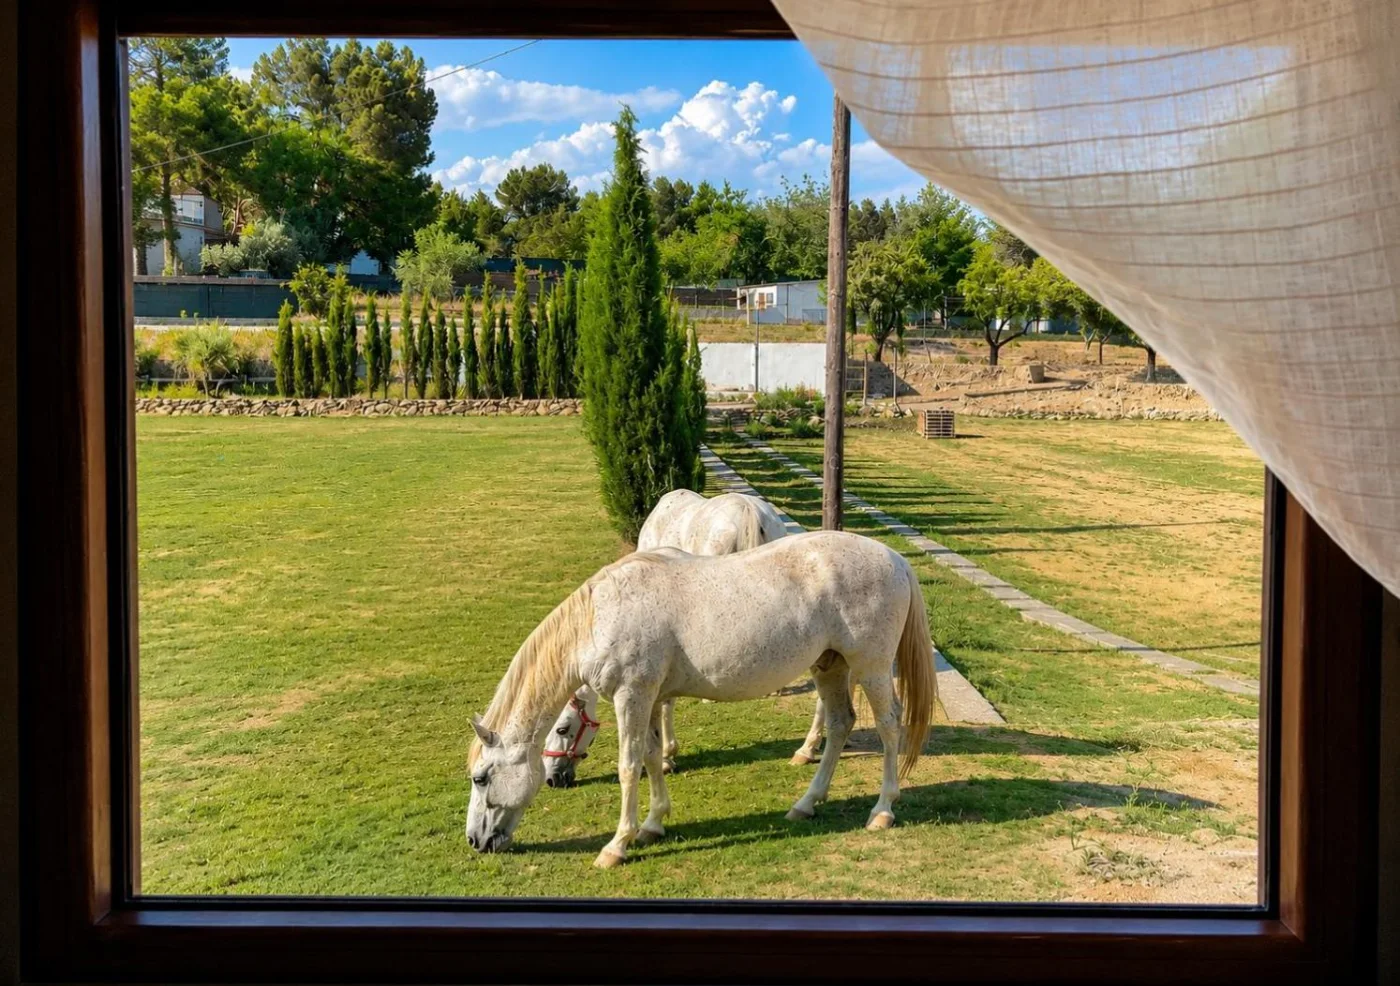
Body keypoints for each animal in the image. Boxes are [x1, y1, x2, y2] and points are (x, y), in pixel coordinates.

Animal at [466, 530, 937, 868]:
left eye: (482, 778)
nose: (475, 840)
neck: (602, 616)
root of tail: (893, 559)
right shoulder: (650, 698)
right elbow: (651, 756)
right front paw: (652, 824)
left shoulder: (632, 696)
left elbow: (628, 767)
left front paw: (617, 845)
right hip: (830, 666)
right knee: (840, 723)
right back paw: (805, 804)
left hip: (871, 667)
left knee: (889, 728)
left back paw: (882, 810)